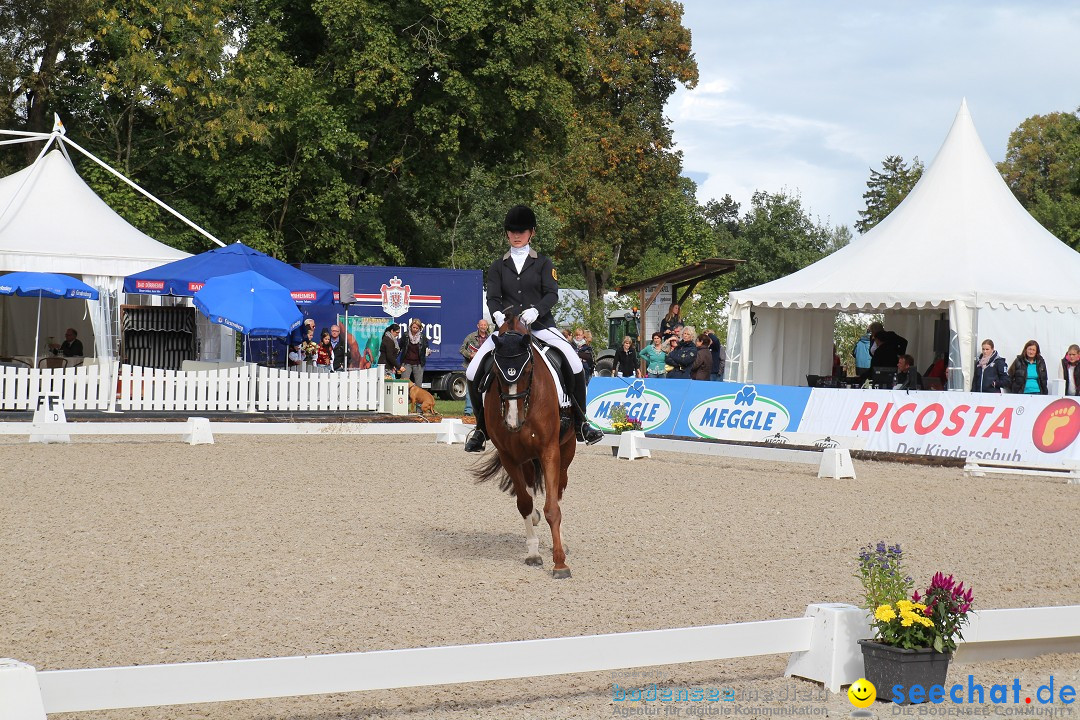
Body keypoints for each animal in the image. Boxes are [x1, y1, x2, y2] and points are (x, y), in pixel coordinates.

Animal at [470, 313, 574, 578]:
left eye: (527, 370)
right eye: (495, 372)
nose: (512, 422)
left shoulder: (549, 452)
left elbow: (552, 508)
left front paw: (560, 563)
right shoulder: (508, 456)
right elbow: (524, 503)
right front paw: (533, 553)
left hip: (566, 452)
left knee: (559, 491)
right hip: (524, 458)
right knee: (529, 489)